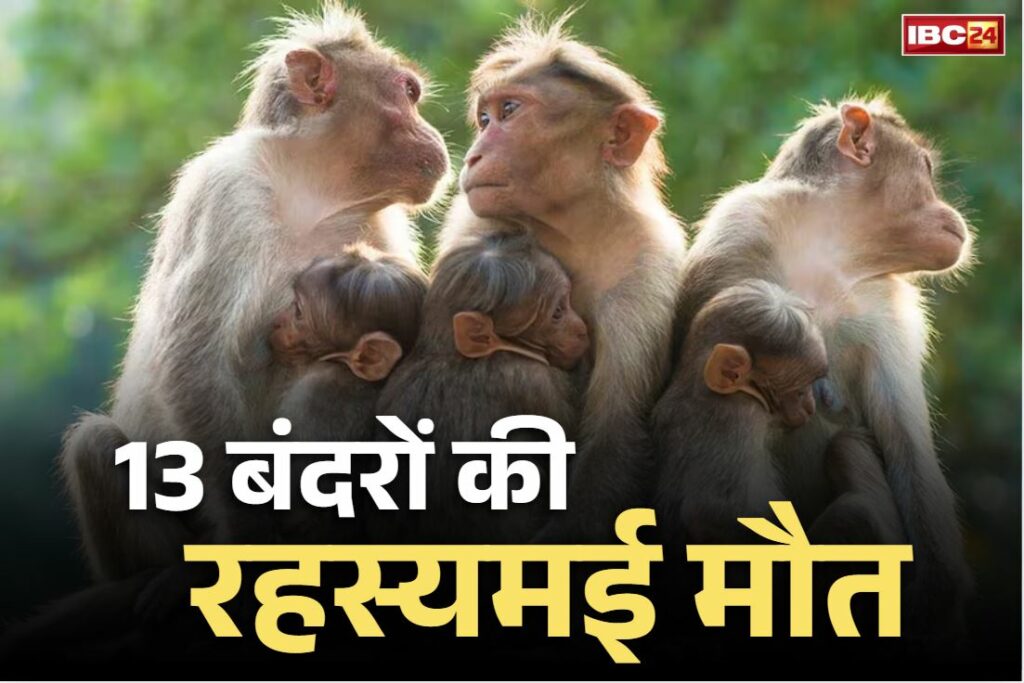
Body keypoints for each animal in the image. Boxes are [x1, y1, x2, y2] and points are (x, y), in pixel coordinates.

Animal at [57, 2, 449, 603]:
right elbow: (193, 362)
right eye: (408, 93)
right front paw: (248, 533)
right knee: (96, 445)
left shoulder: (382, 227)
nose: (435, 134)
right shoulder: (224, 191)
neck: (312, 192)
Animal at [436, 12, 686, 541]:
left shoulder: (649, 267)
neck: (573, 228)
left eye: (510, 111)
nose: (473, 155)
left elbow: (615, 435)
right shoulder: (474, 224)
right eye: (485, 119)